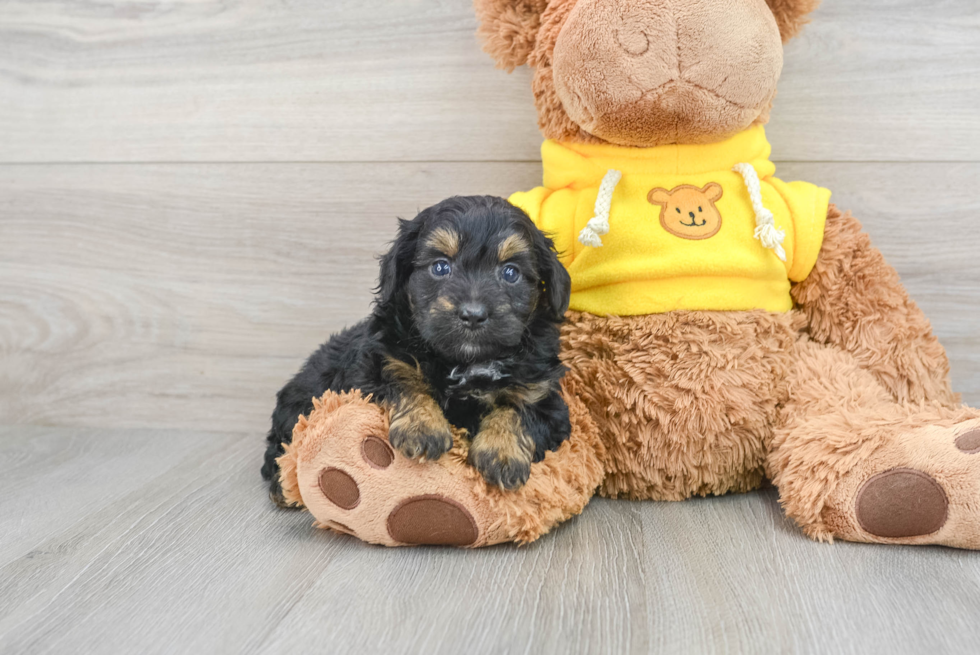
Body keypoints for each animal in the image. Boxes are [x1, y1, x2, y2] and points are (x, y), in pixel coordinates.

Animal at [262, 193, 576, 502]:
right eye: (440, 267)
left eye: (511, 273)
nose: (473, 314)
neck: (464, 360)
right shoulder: (376, 365)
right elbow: (403, 380)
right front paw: (423, 428)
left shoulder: (544, 395)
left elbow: (518, 409)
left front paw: (502, 452)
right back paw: (282, 485)